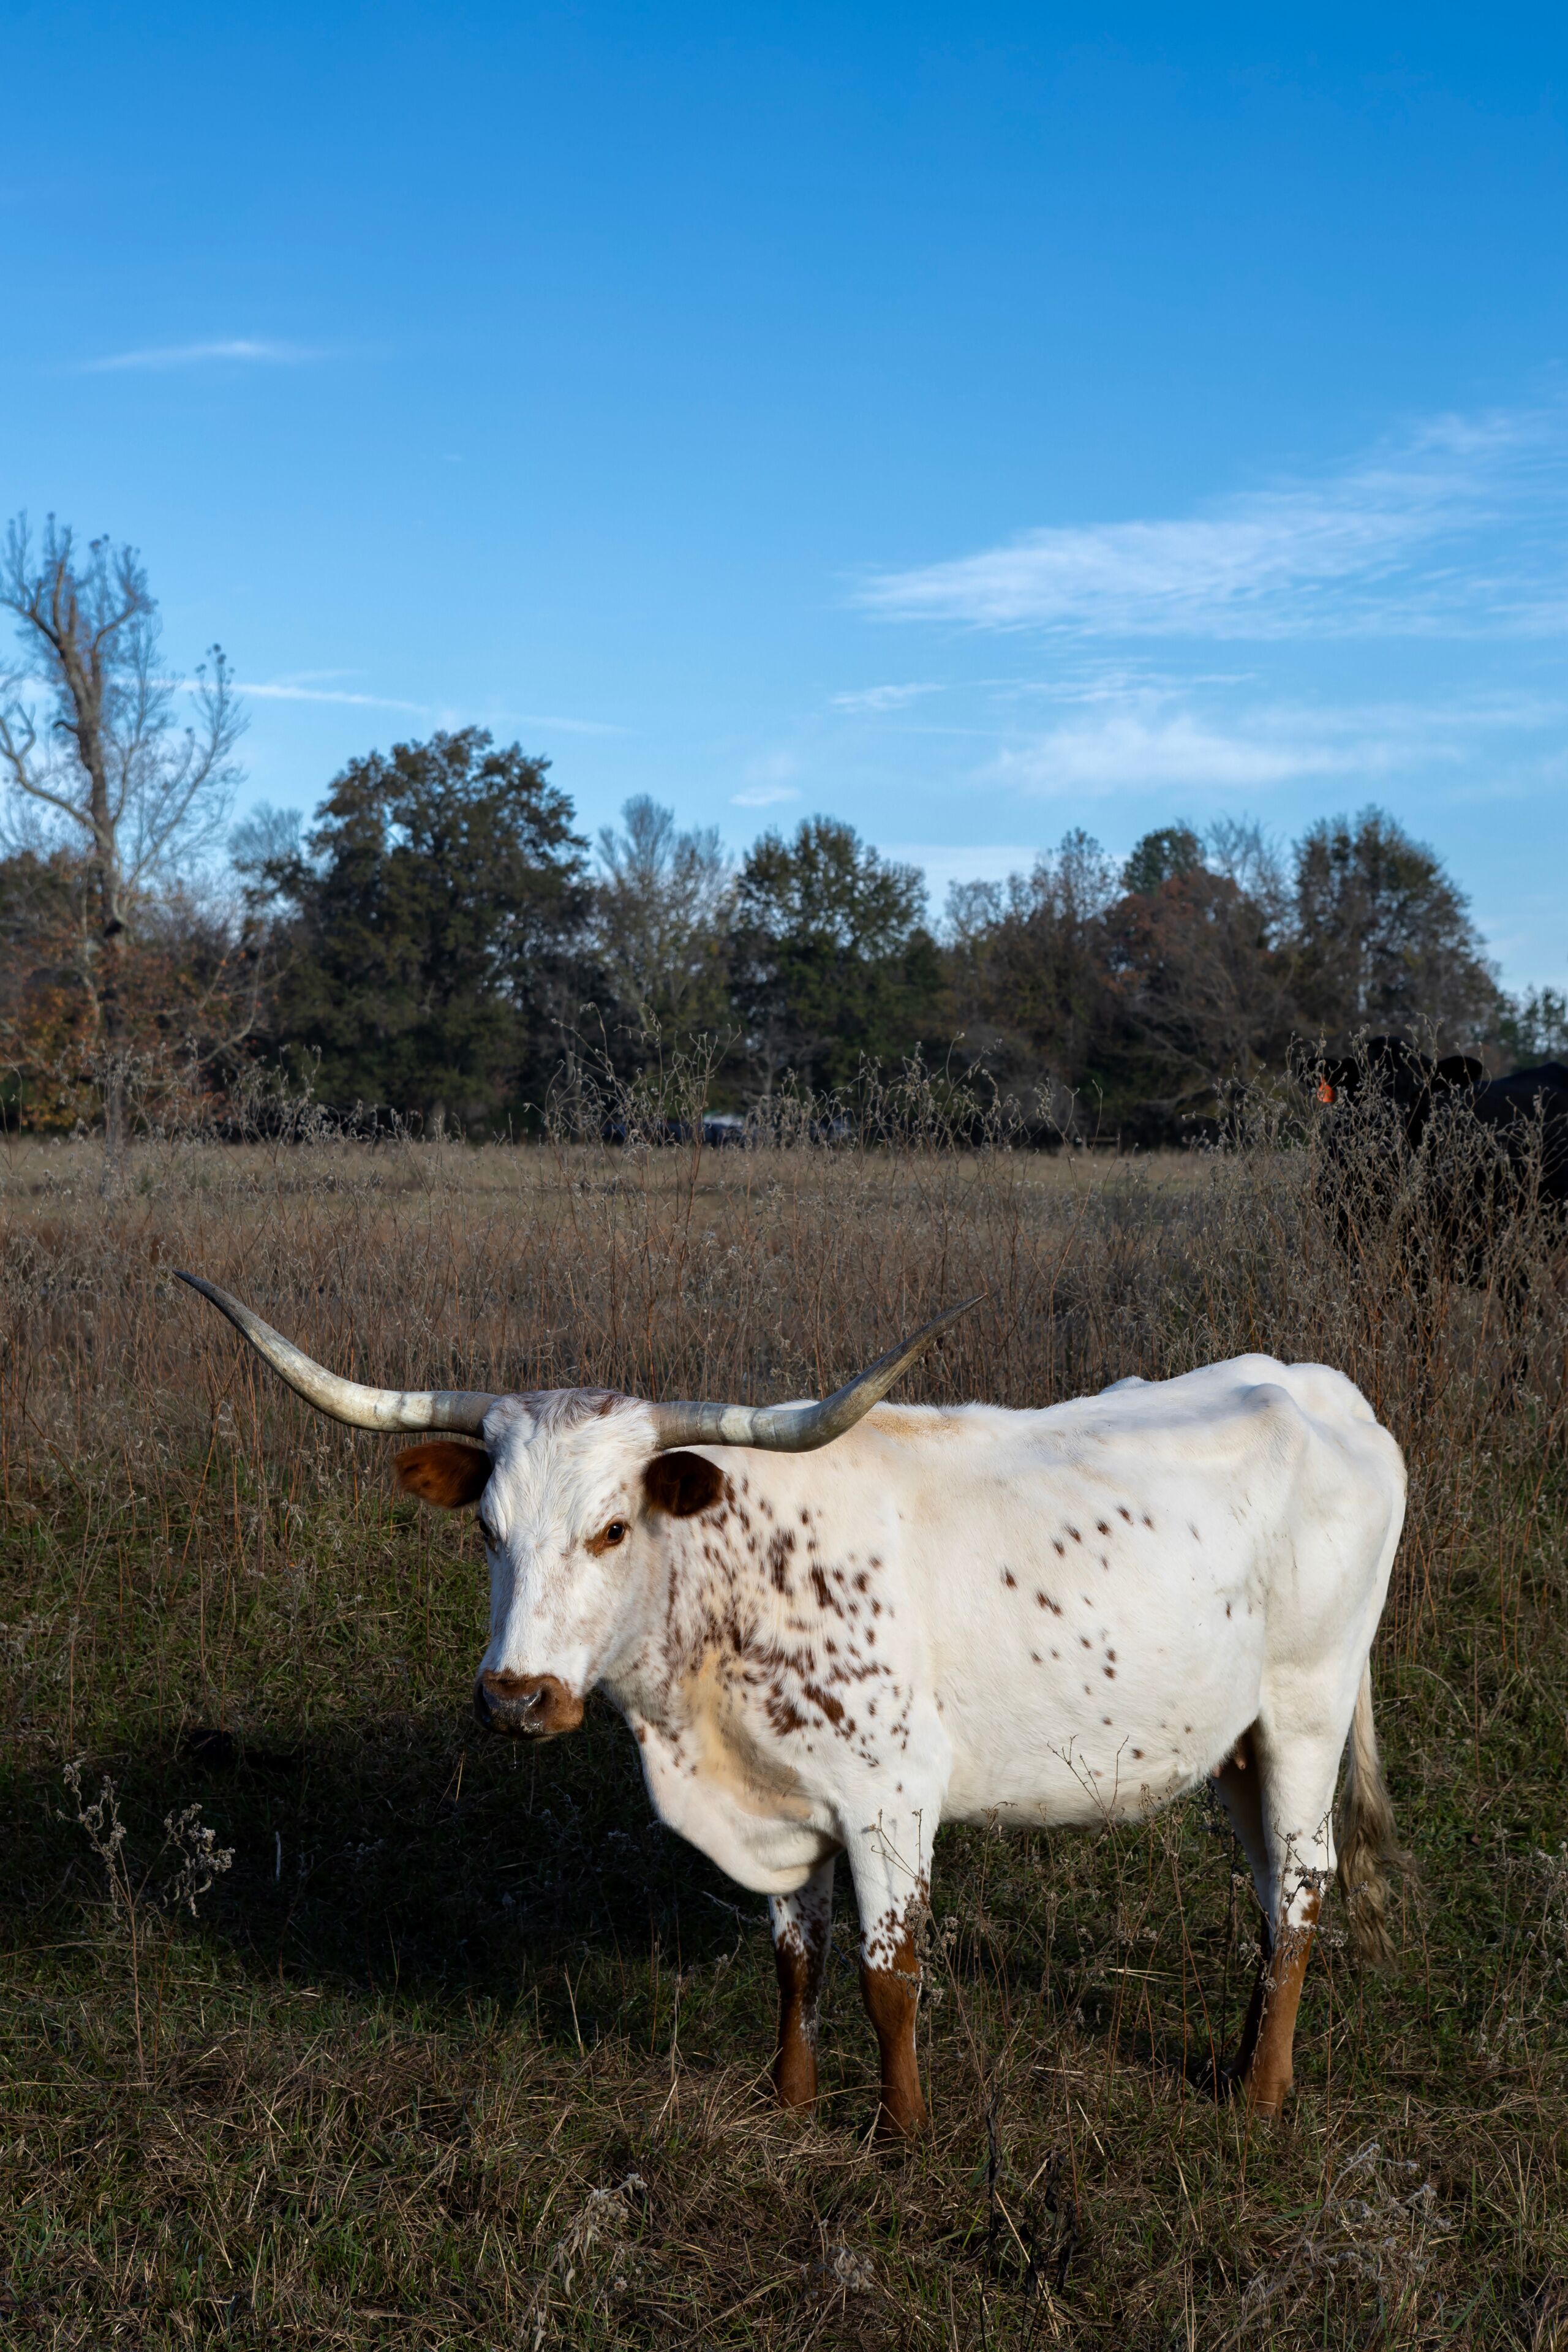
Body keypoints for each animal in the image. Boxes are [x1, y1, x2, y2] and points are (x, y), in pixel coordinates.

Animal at [177, 1272, 1406, 2136]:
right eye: (487, 1531)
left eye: (611, 1529)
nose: (516, 1698)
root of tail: (1321, 1385)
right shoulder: (783, 1800)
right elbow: (799, 1957)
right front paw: (791, 2100)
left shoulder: (892, 1798)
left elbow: (887, 1977)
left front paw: (904, 2133)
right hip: (1239, 1744)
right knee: (1267, 1890)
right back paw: (1243, 2064)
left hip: (1306, 1708)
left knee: (1303, 1887)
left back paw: (1260, 2098)